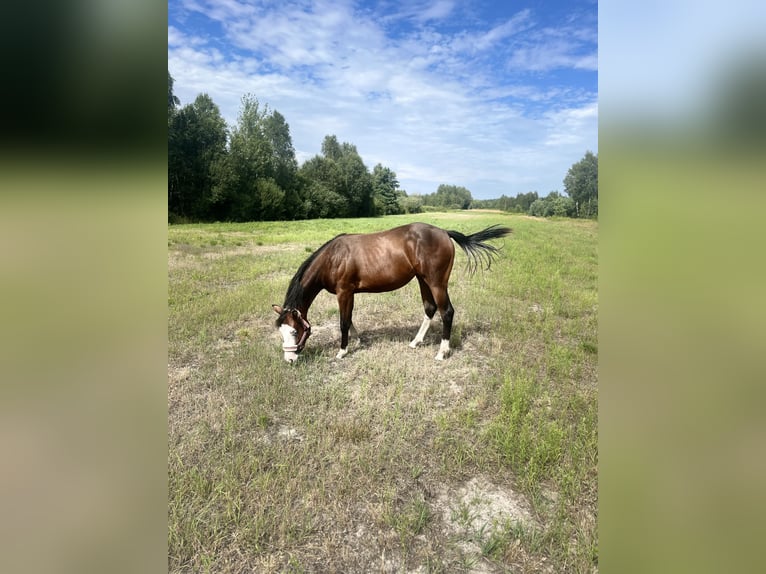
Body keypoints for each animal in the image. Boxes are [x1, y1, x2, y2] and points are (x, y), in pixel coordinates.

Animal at [272, 222, 512, 363]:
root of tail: (445, 232)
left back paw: (442, 352)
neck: (334, 257)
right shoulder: (350, 294)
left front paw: (342, 351)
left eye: (294, 332)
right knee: (430, 308)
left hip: (437, 283)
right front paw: (358, 342)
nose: (289, 359)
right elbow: (350, 319)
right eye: (280, 332)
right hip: (423, 280)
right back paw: (416, 342)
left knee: (447, 312)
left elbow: (343, 322)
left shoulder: (344, 292)